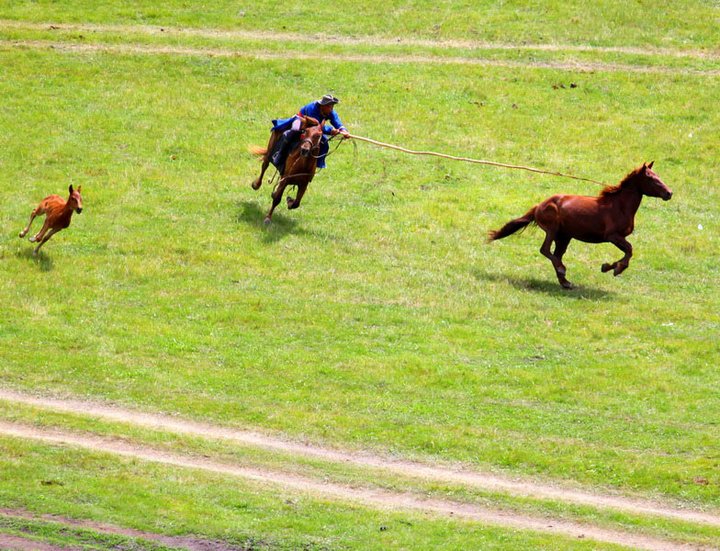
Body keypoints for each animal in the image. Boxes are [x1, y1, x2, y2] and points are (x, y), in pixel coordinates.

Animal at [486, 163, 672, 288]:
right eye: (651, 178)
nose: (669, 193)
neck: (619, 206)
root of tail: (539, 206)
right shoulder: (612, 236)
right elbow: (629, 250)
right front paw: (615, 268)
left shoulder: (618, 237)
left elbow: (628, 252)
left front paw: (607, 267)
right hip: (553, 230)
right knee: (545, 250)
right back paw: (562, 271)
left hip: (564, 237)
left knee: (556, 254)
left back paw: (566, 282)